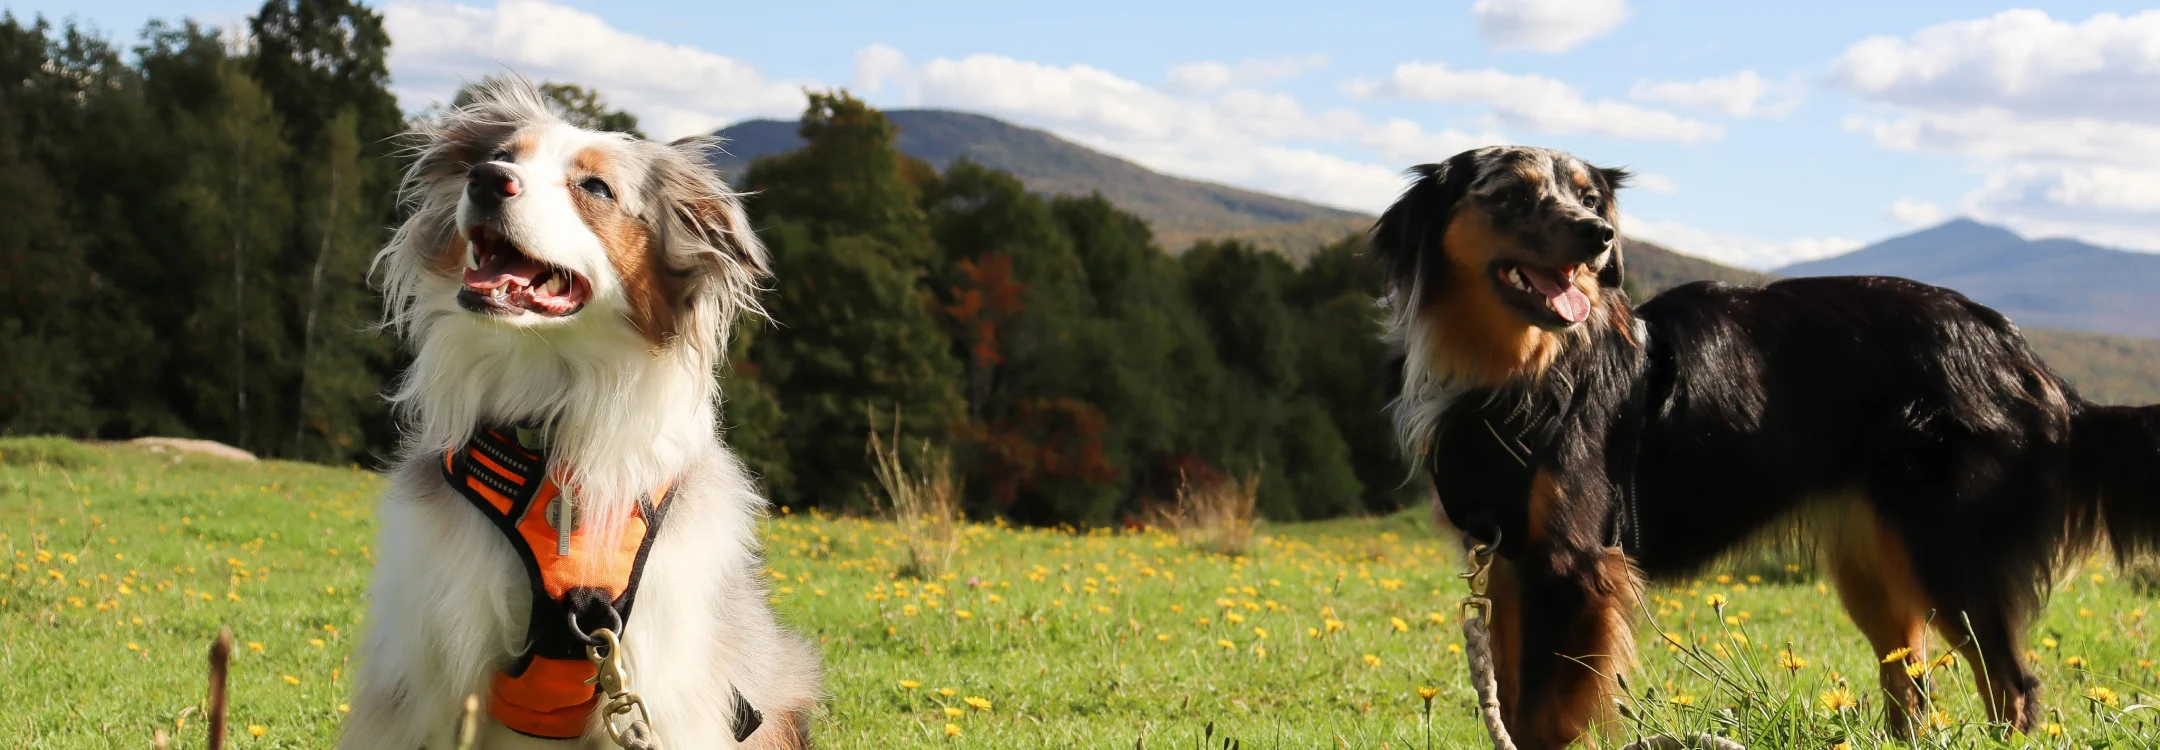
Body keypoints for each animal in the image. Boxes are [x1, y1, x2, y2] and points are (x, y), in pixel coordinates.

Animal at [345, 79, 816, 747]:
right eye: (503, 157)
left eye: (595, 188)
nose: (487, 179)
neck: (550, 430)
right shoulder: (432, 667)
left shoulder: (665, 673)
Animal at [1373, 145, 2151, 747]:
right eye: (1510, 194)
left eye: (1591, 197)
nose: (1598, 235)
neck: (1517, 370)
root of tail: (2023, 356)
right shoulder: (1507, 560)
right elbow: (1509, 698)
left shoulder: (1574, 561)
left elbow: (1543, 715)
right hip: (1874, 563)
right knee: (1912, 684)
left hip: (1950, 548)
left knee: (2012, 684)